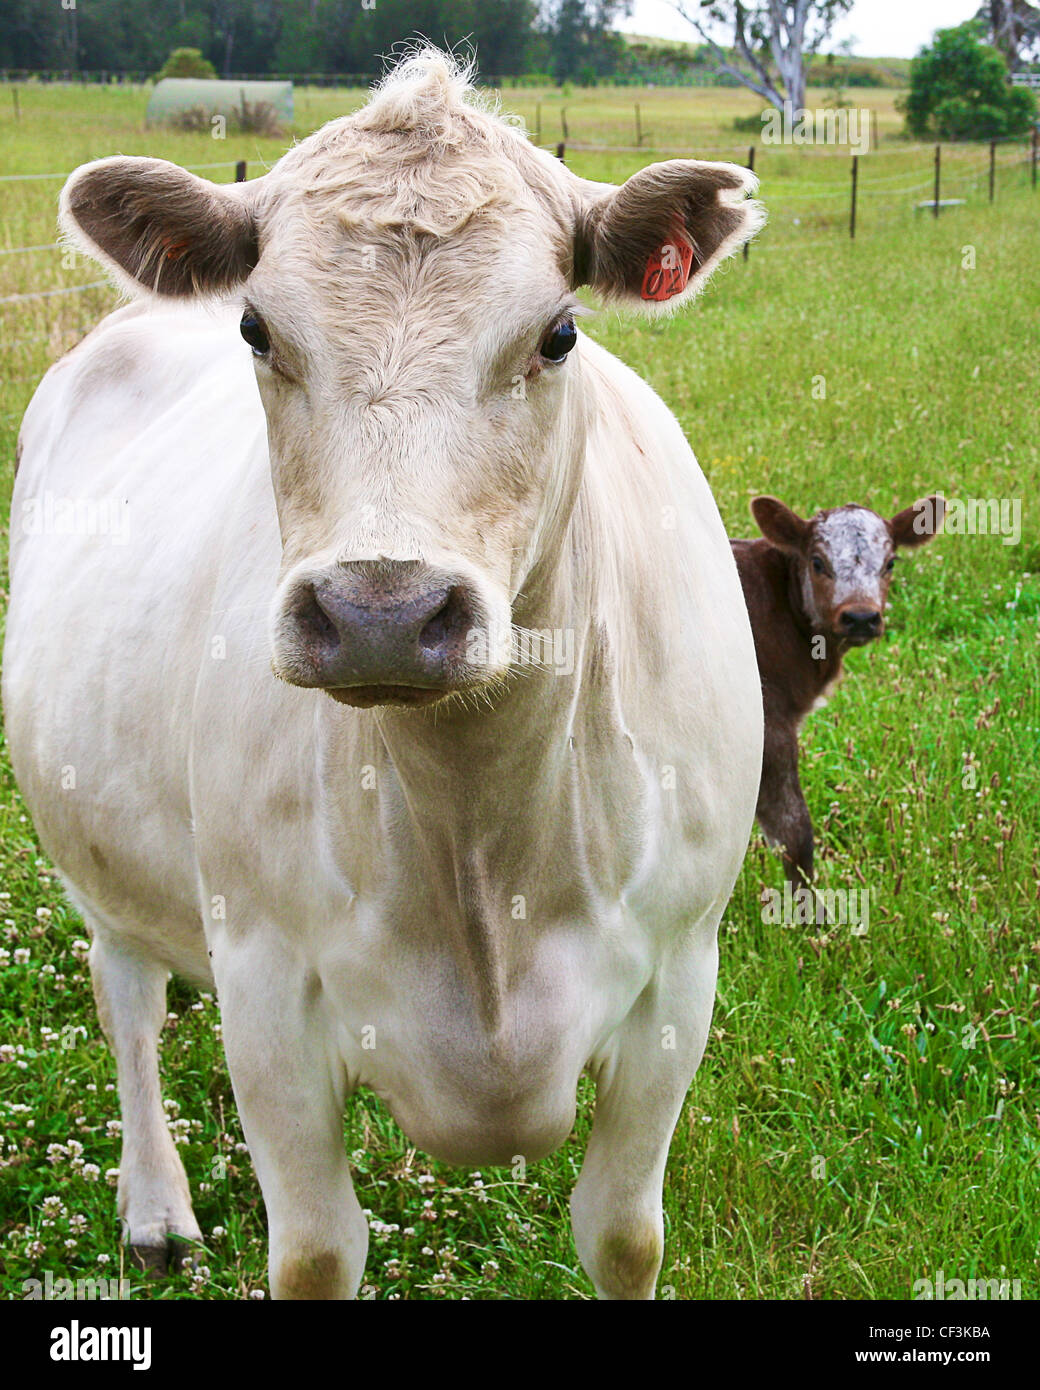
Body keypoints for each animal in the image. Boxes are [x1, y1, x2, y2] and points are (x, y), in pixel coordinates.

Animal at [3, 52, 764, 1300]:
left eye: (558, 333)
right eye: (256, 325)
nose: (380, 614)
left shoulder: (676, 981)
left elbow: (622, 1232)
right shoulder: (264, 989)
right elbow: (316, 1250)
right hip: (97, 854)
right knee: (127, 1000)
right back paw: (154, 1205)